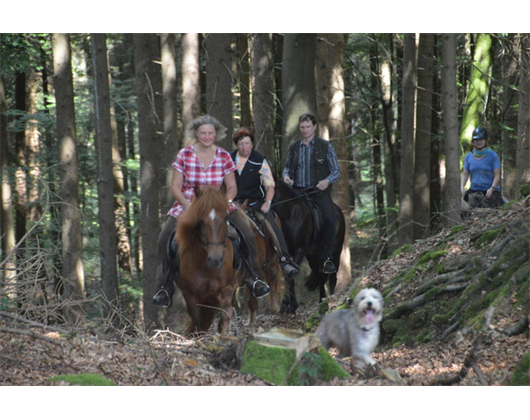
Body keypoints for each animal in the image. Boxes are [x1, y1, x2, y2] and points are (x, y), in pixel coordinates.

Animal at [175, 186, 254, 334]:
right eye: (201, 221)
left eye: (225, 218)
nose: (215, 259)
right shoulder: (190, 293)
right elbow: (197, 320)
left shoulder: (227, 288)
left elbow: (226, 314)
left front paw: (224, 334)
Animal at [270, 179, 344, 314]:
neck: (289, 214)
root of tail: (339, 211)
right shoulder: (284, 255)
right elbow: (287, 276)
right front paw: (286, 305)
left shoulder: (299, 251)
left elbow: (290, 278)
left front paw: (290, 307)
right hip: (314, 256)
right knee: (320, 276)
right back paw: (322, 301)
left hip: (337, 251)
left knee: (332, 277)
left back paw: (332, 299)